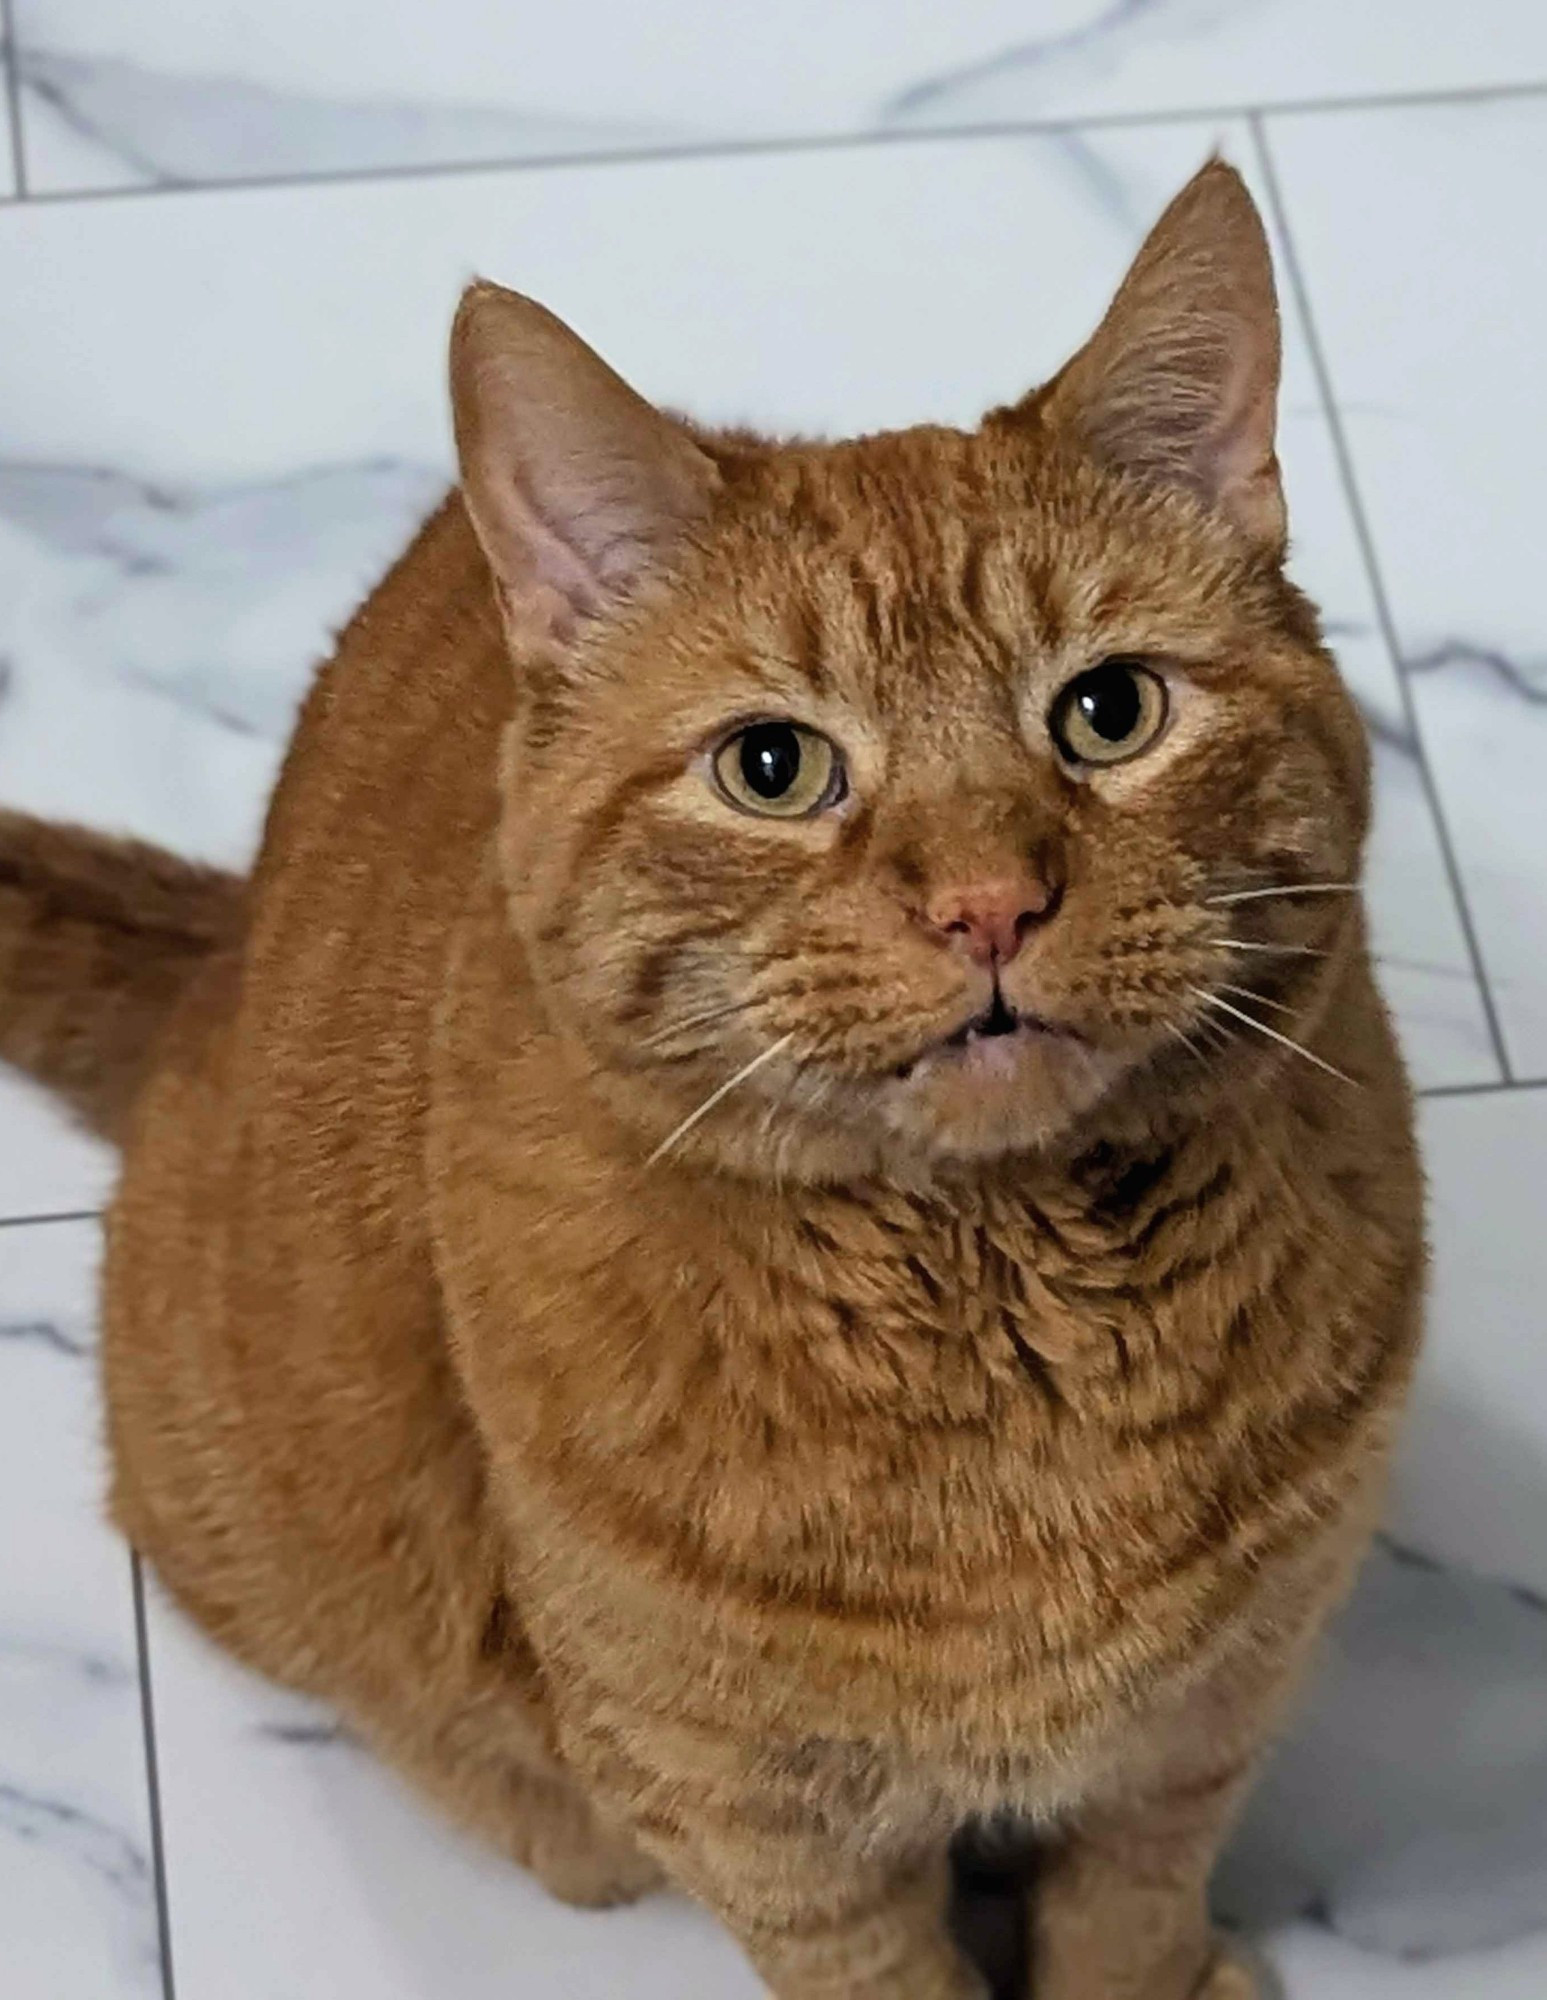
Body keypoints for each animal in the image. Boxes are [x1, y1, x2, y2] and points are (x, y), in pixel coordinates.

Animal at [3, 168, 1431, 2000]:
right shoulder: (763, 1826)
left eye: (1108, 712)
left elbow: (1126, 1906)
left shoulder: (1205, 1718)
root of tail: (217, 945)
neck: (1007, 1327)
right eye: (773, 766)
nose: (986, 900)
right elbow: (883, 1969)